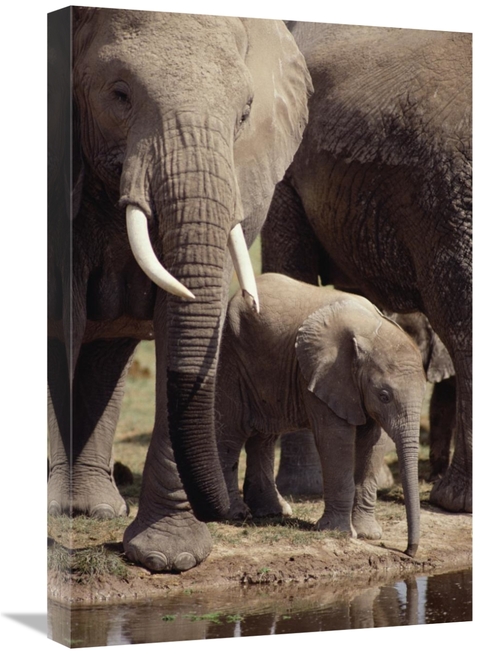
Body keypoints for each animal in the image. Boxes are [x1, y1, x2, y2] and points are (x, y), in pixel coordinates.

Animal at [47, 7, 311, 572]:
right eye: (119, 95)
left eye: (244, 114)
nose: (233, 513)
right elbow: (64, 318)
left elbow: (178, 320)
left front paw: (168, 558)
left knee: (109, 354)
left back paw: (95, 510)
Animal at [216, 273, 426, 556]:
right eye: (384, 396)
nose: (408, 551)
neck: (371, 331)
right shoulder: (324, 375)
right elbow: (335, 441)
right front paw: (338, 533)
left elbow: (372, 444)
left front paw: (368, 535)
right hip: (231, 354)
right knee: (232, 432)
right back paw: (235, 514)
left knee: (264, 436)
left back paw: (273, 512)